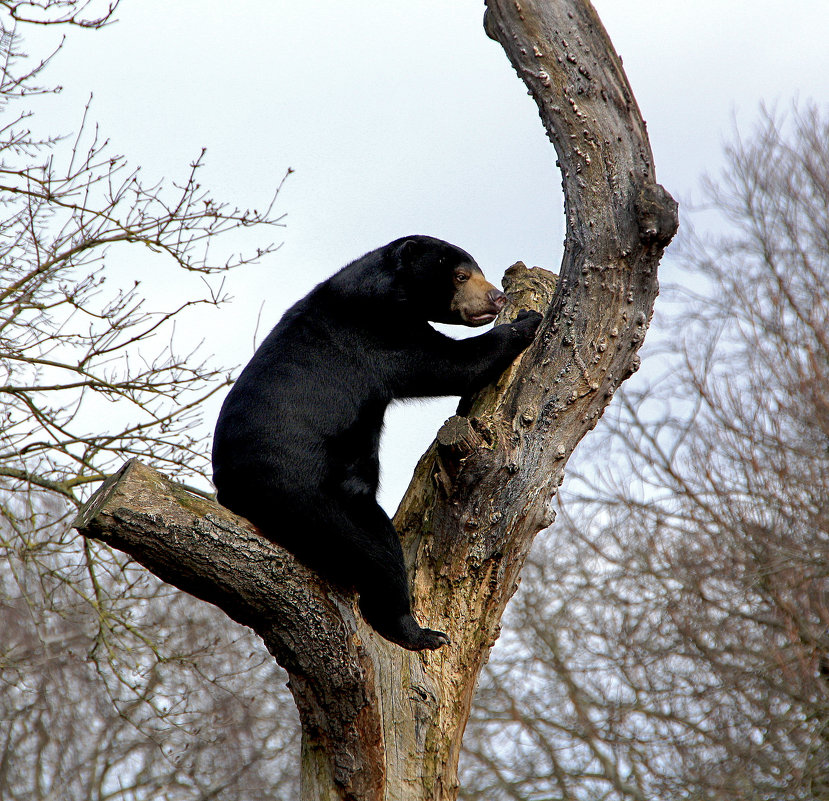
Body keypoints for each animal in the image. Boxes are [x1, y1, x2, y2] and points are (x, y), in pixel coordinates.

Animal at [210, 234, 540, 648]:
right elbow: (449, 364)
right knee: (375, 553)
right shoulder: (380, 331)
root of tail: (229, 490)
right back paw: (419, 632)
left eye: (478, 272)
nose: (497, 297)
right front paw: (527, 320)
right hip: (309, 497)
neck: (390, 290)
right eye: (461, 275)